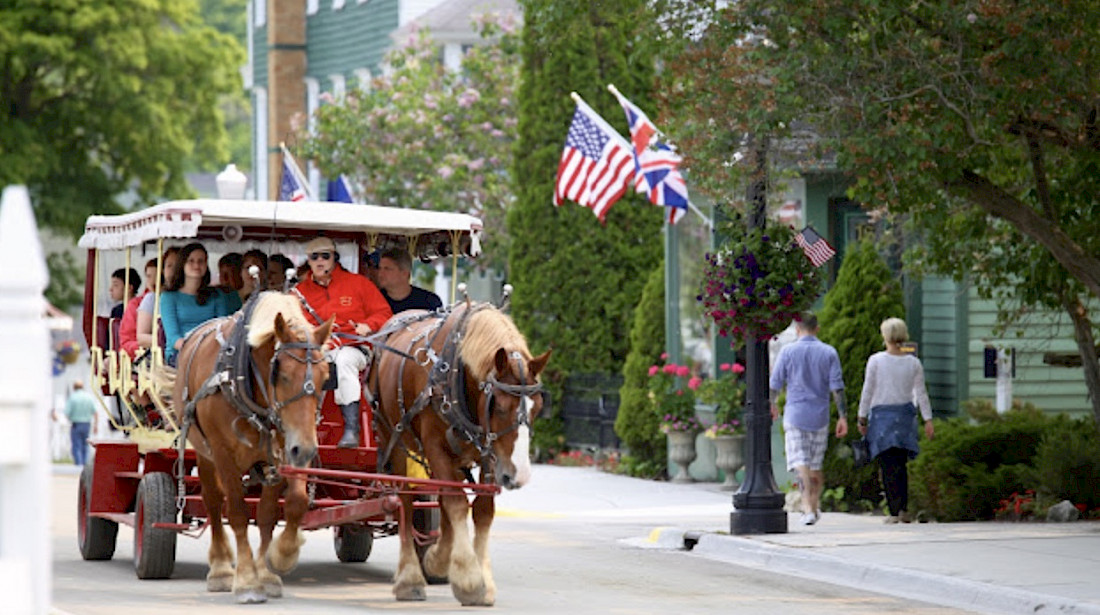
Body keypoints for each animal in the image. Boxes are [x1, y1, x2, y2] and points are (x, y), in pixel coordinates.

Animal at [167, 292, 330, 607]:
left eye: (326, 376)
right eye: (282, 375)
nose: (306, 449)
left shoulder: (285, 449)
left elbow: (282, 508)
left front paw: (275, 563)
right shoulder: (223, 453)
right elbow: (238, 512)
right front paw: (246, 580)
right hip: (205, 451)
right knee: (213, 501)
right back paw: (220, 568)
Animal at [369, 303, 554, 607]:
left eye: (537, 406)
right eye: (499, 405)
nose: (519, 475)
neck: (455, 373)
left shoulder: (490, 455)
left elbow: (481, 509)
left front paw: (474, 575)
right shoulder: (435, 446)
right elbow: (456, 504)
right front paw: (469, 578)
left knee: (442, 494)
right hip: (393, 439)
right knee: (405, 502)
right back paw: (410, 577)